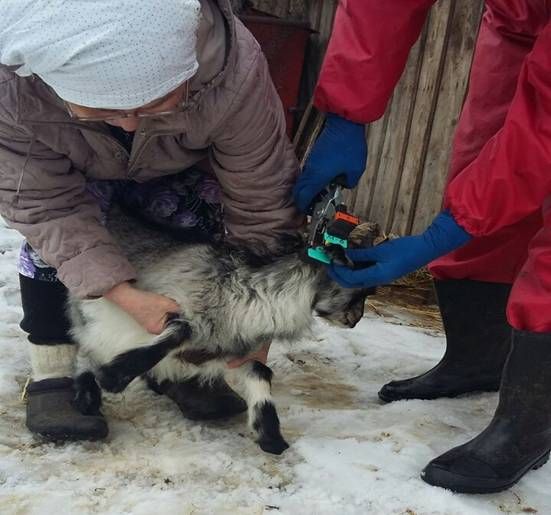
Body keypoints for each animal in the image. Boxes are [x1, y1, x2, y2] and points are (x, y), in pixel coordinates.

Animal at [67, 208, 374, 454]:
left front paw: (270, 436)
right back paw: (87, 395)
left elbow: (261, 371)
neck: (246, 295)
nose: (356, 320)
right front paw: (112, 377)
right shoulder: (157, 306)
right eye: (359, 289)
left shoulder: (228, 349)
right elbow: (176, 332)